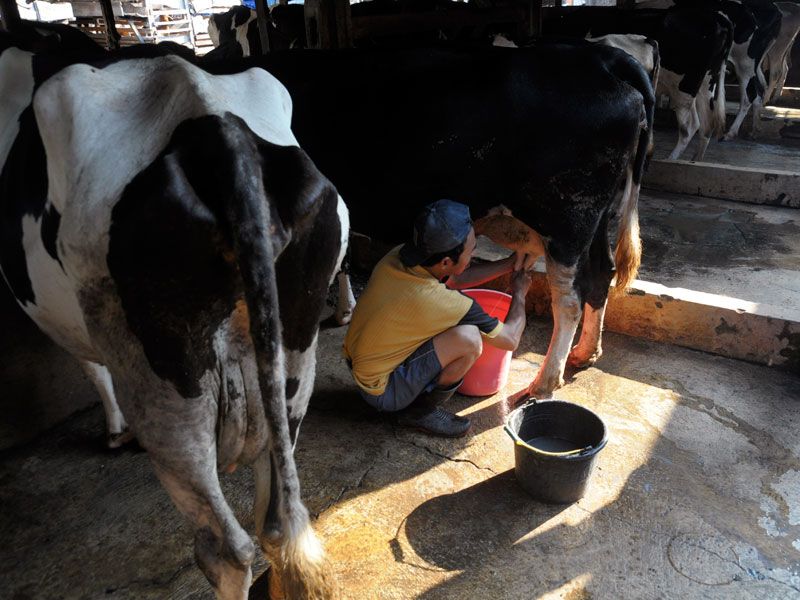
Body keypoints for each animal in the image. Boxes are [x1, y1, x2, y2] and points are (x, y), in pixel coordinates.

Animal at [0, 38, 344, 600]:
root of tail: (220, 132)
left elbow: (90, 366)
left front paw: (115, 432)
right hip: (295, 351)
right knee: (276, 519)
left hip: (163, 377)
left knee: (225, 549)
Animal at [203, 43, 652, 398]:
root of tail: (600, 56)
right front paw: (344, 311)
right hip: (600, 216)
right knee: (602, 274)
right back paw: (585, 353)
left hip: (568, 217)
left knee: (569, 300)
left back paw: (544, 381)